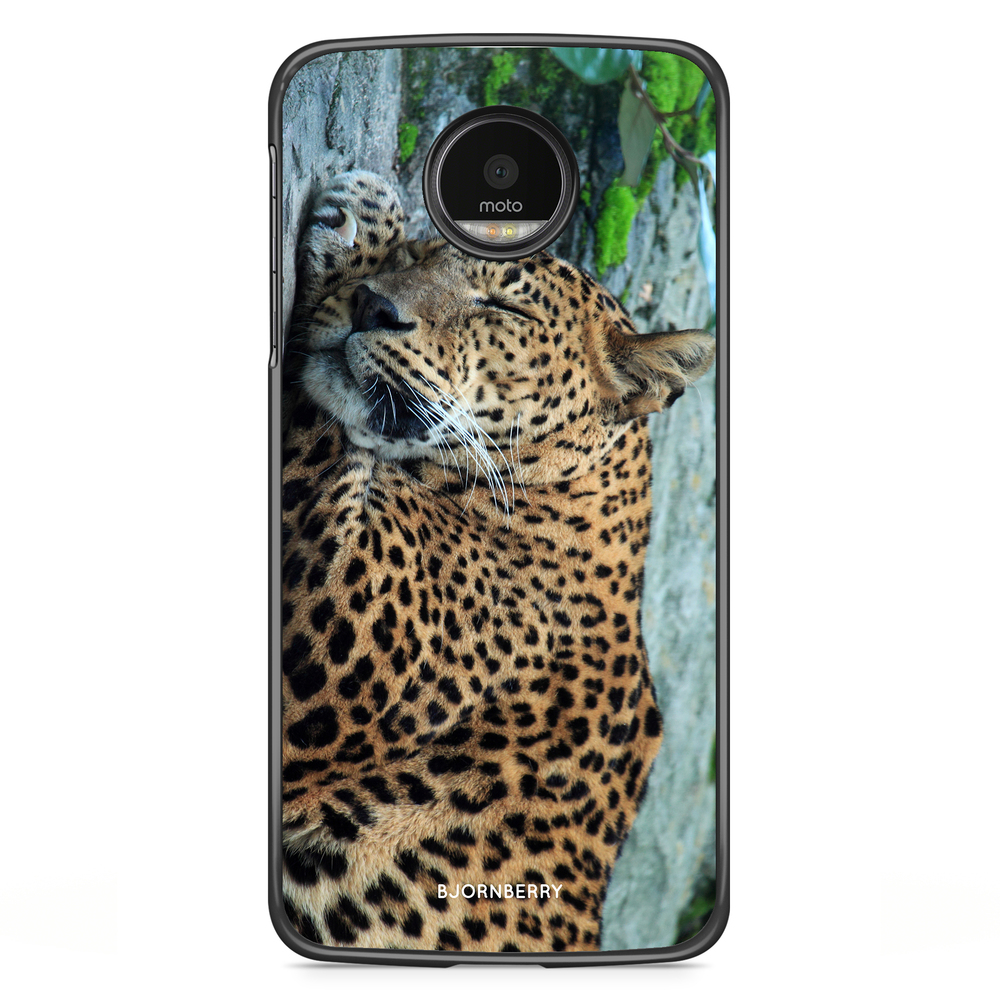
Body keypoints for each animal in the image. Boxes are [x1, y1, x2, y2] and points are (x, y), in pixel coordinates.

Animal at [279, 171, 715, 954]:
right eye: (423, 256)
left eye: (504, 307)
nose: (373, 306)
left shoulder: (334, 617)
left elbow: (323, 428)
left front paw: (361, 216)